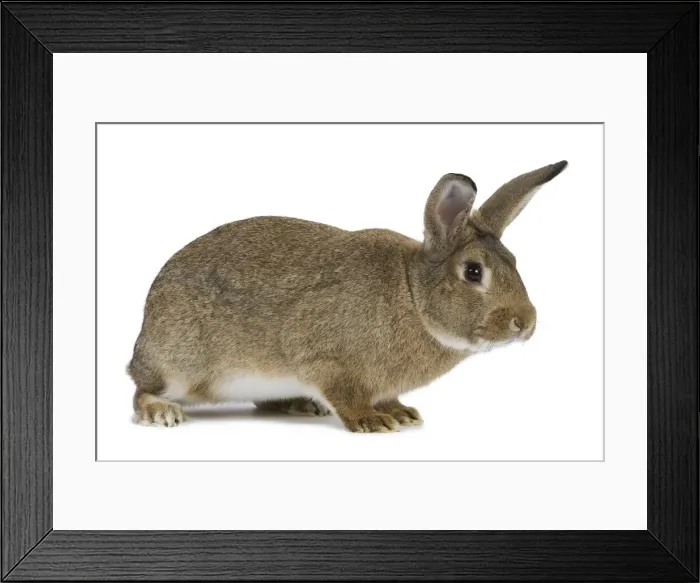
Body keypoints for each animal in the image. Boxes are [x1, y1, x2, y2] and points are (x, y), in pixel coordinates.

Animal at [128, 160, 568, 432]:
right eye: (473, 272)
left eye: (514, 261)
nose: (526, 323)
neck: (413, 296)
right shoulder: (326, 359)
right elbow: (346, 393)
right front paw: (372, 422)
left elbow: (387, 397)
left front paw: (401, 414)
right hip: (179, 364)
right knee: (141, 391)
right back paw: (161, 413)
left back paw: (300, 405)